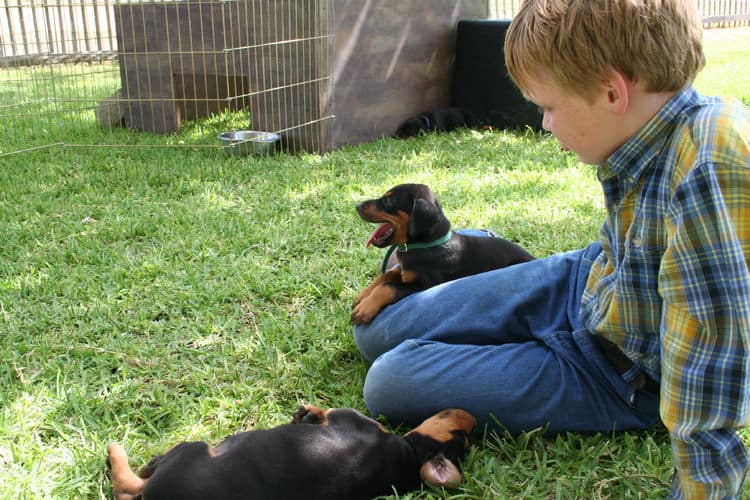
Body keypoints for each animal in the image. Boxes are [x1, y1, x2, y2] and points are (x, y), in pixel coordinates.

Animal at [107, 406, 476, 500]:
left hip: (191, 450)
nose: (471, 417)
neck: (407, 457)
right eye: (463, 436)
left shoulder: (342, 417)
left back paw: (116, 450)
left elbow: (322, 413)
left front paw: (308, 412)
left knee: (127, 484)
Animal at [352, 184, 536, 324]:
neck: (426, 245)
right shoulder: (406, 271)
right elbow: (385, 276)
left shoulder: (426, 285)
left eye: (388, 201)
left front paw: (365, 309)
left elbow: (388, 286)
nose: (357, 206)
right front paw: (362, 296)